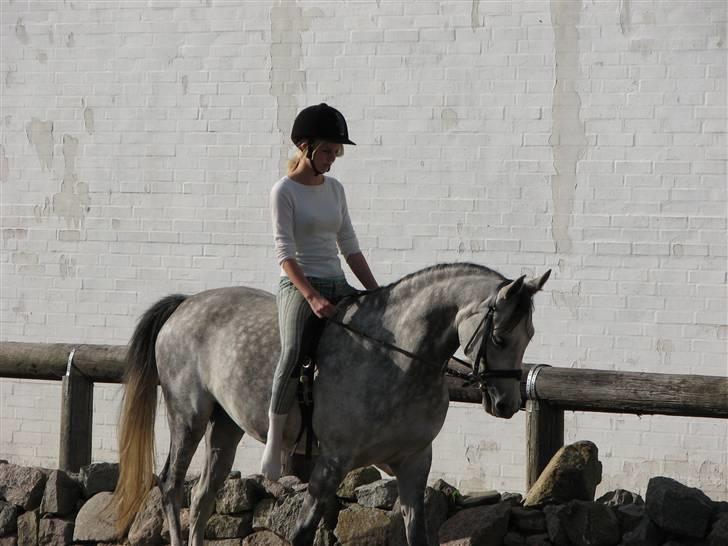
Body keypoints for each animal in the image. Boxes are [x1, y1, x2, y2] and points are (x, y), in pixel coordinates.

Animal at [112, 262, 544, 540]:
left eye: (530, 335)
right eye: (500, 337)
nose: (506, 403)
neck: (400, 358)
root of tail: (186, 304)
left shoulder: (415, 462)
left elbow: (416, 533)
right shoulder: (332, 463)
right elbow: (303, 533)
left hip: (225, 426)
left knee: (203, 496)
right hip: (188, 417)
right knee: (172, 486)